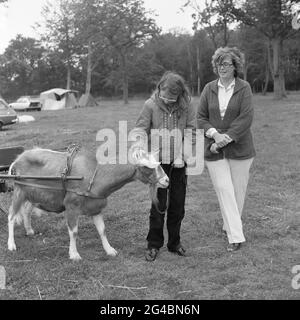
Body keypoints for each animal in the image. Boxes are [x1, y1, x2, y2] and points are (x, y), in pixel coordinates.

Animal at [7, 148, 169, 260]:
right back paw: (11, 245)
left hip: (33, 194)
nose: (167, 180)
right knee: (11, 216)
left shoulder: (96, 207)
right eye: (147, 167)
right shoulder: (71, 206)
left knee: (26, 211)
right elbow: (73, 231)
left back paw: (29, 230)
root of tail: (18, 159)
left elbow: (102, 230)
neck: (95, 175)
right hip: (19, 190)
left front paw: (110, 250)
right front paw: (74, 254)